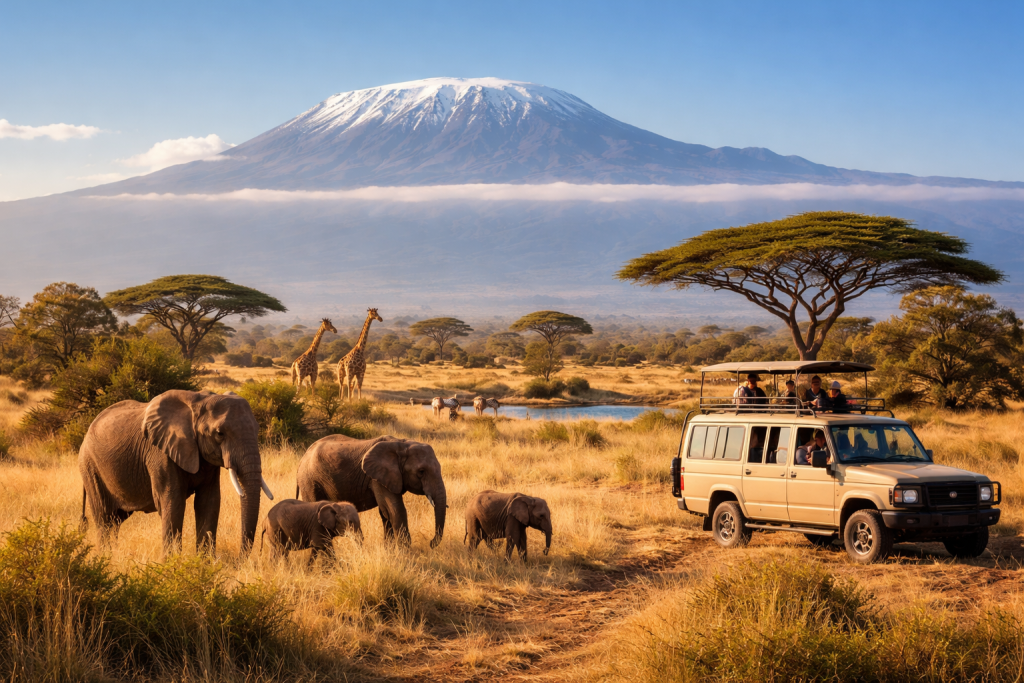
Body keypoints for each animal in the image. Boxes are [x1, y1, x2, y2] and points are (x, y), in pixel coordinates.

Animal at [78, 390, 274, 554]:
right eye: (220, 434)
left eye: (257, 430)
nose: (240, 561)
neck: (199, 402)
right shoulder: (161, 453)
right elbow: (173, 502)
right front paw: (171, 564)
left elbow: (208, 502)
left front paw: (205, 564)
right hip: (90, 466)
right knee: (105, 518)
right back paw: (105, 557)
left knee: (116, 520)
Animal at [296, 435, 446, 547]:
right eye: (421, 471)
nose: (430, 543)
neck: (402, 444)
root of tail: (303, 456)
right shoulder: (377, 477)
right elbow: (395, 509)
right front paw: (405, 550)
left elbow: (385, 512)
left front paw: (389, 549)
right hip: (309, 480)